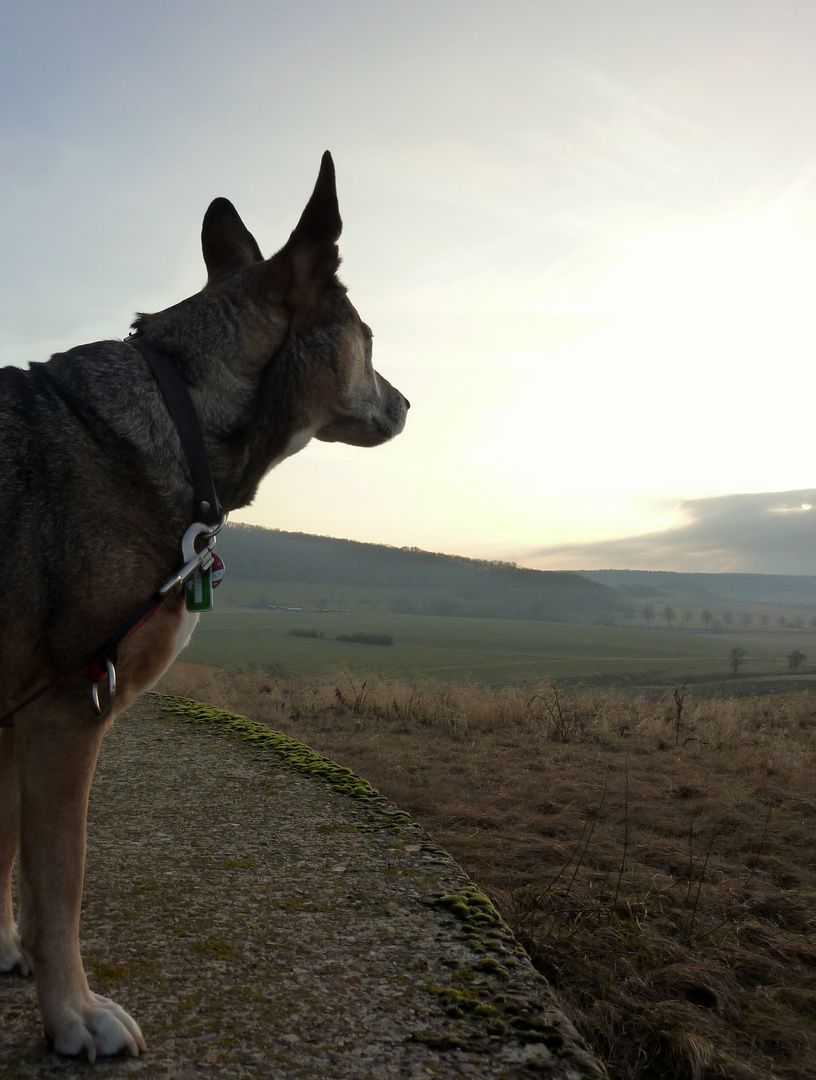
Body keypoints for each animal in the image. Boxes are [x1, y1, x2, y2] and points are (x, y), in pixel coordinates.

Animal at [0, 156, 408, 1058]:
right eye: (369, 341)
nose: (407, 404)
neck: (182, 413)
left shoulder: (14, 715)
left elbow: (1, 852)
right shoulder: (65, 713)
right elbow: (60, 881)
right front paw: (74, 1014)